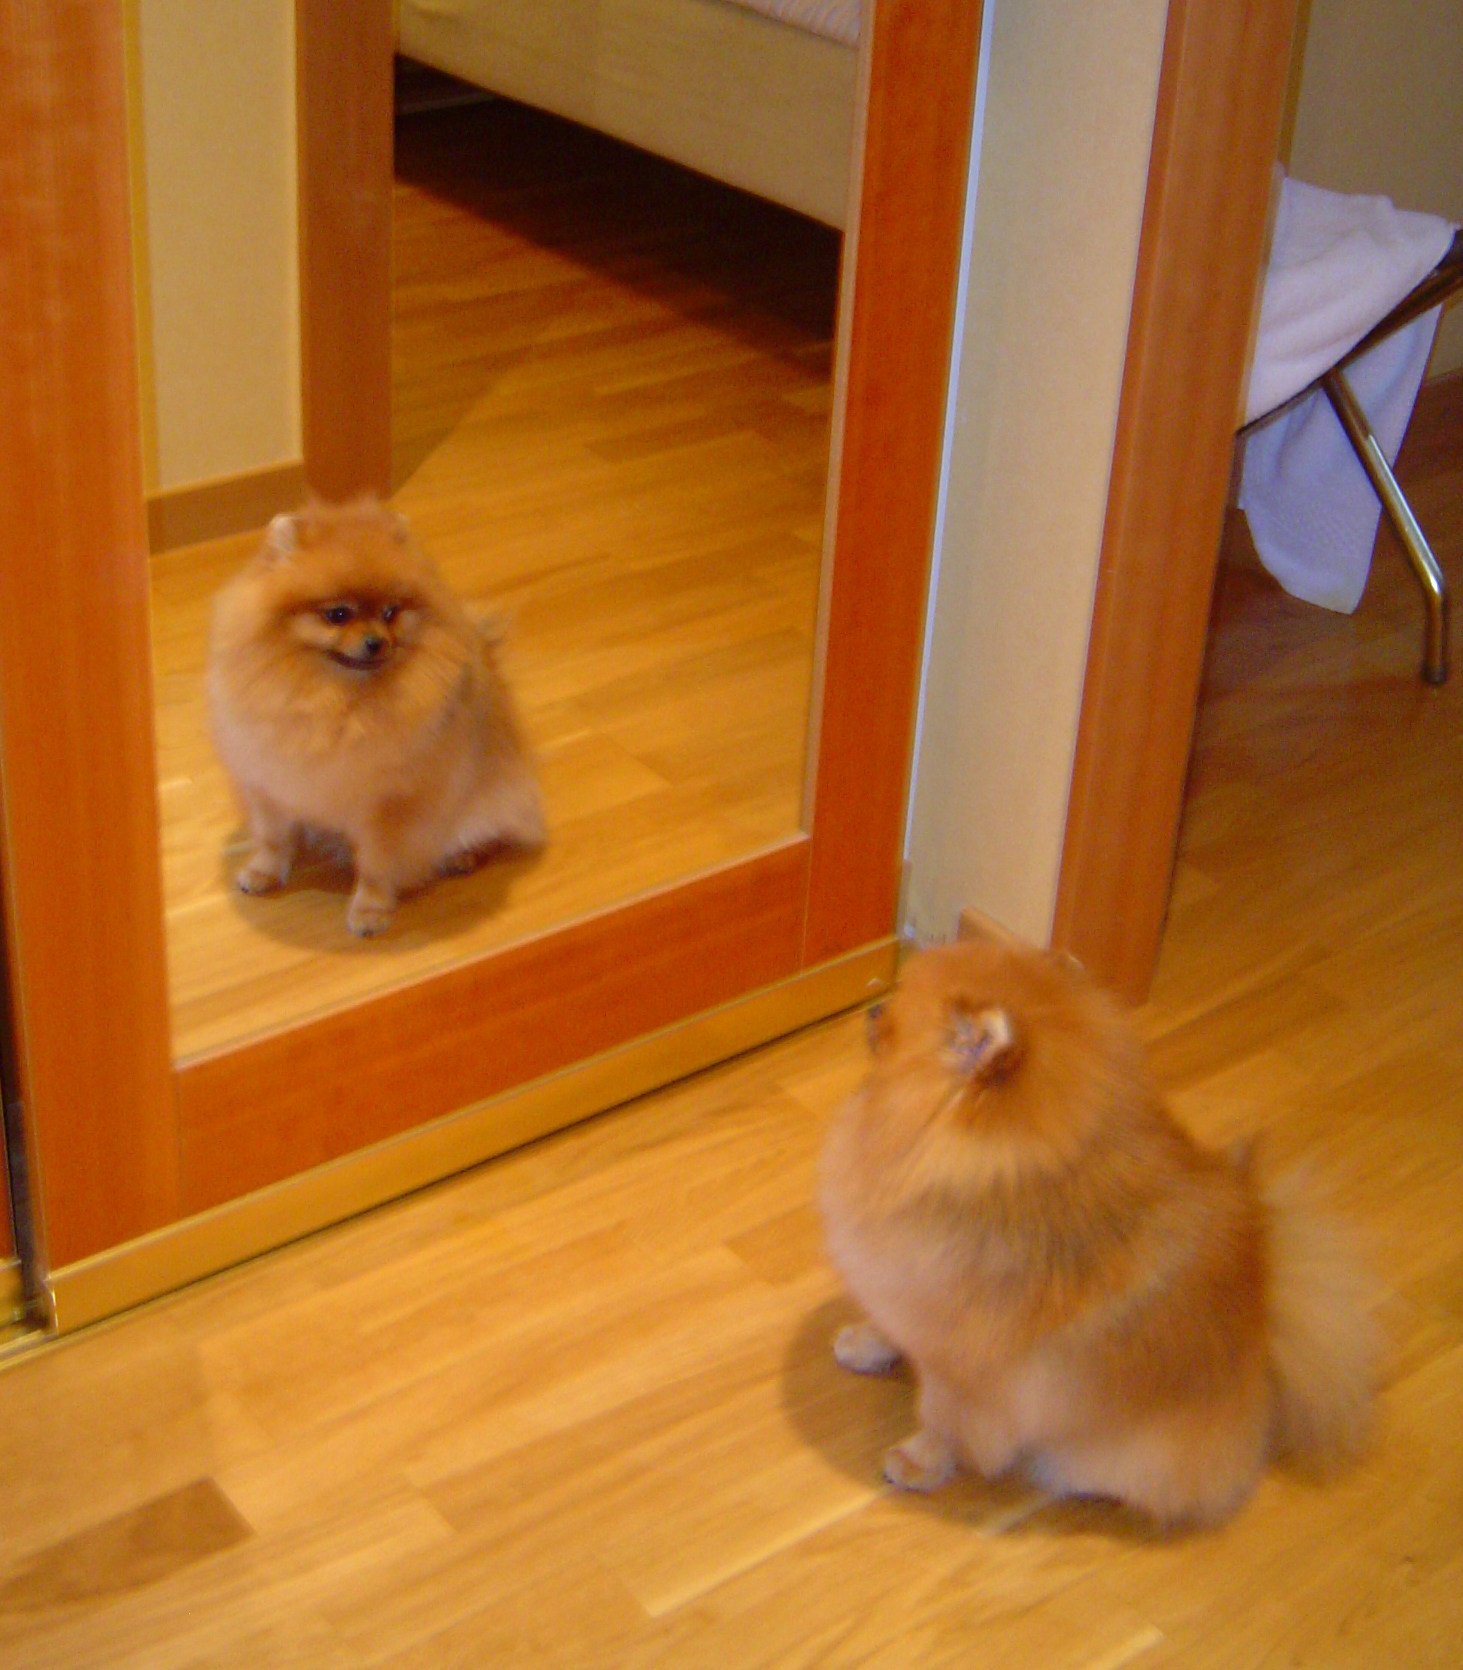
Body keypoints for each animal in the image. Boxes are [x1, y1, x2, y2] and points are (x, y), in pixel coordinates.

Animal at [207, 497, 544, 935]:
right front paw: (264, 872)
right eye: (337, 615)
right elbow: (273, 838)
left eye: (390, 612)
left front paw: (370, 909)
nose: (376, 642)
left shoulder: (388, 807)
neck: (334, 702)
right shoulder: (270, 782)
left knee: (491, 828)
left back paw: (463, 854)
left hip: (490, 795)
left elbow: (375, 864)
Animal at [819, 934, 1376, 1526]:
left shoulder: (970, 1371)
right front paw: (866, 1343)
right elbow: (891, 1328)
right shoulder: (907, 1294)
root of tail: (1263, 1346)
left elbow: (944, 1421)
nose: (871, 1008)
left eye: (893, 1024)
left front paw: (918, 1461)